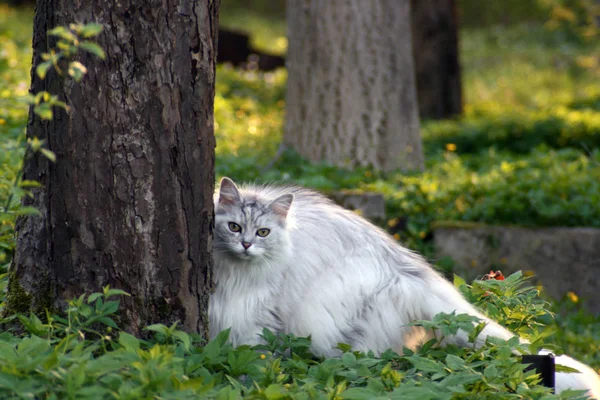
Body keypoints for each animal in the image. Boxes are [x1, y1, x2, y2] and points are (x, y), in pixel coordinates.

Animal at [210, 177, 600, 396]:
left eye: (263, 232)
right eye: (233, 227)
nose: (246, 244)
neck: (232, 273)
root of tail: (406, 267)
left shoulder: (257, 316)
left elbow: (254, 358)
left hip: (337, 329)